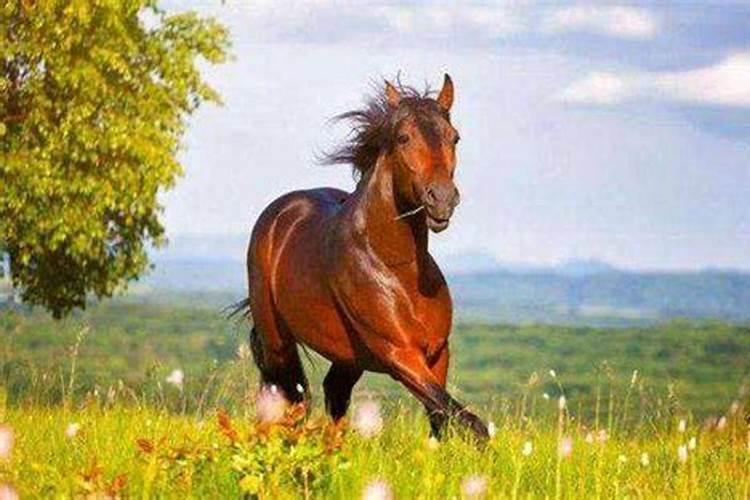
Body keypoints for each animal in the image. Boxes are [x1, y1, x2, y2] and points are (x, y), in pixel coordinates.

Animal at [234, 74, 488, 441]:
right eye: (403, 137)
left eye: (453, 137)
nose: (441, 199)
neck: (398, 267)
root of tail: (278, 214)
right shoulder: (399, 354)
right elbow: (467, 419)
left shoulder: (437, 353)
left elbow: (442, 416)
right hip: (277, 341)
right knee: (285, 397)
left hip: (348, 356)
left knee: (333, 393)